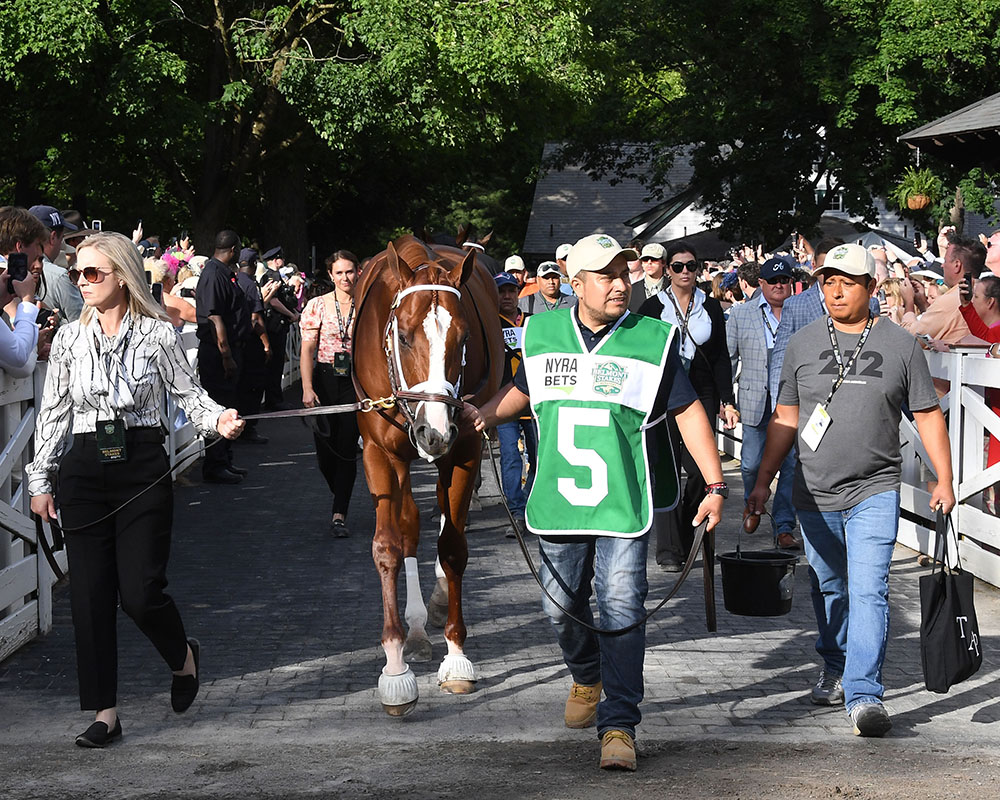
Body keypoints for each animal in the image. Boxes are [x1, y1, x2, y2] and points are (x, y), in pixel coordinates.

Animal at [356, 234, 504, 716]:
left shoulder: (465, 446)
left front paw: (457, 659)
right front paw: (395, 669)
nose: (434, 430)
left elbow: (453, 547)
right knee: (409, 526)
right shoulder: (379, 452)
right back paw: (417, 629)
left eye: (464, 337)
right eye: (403, 336)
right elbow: (389, 545)